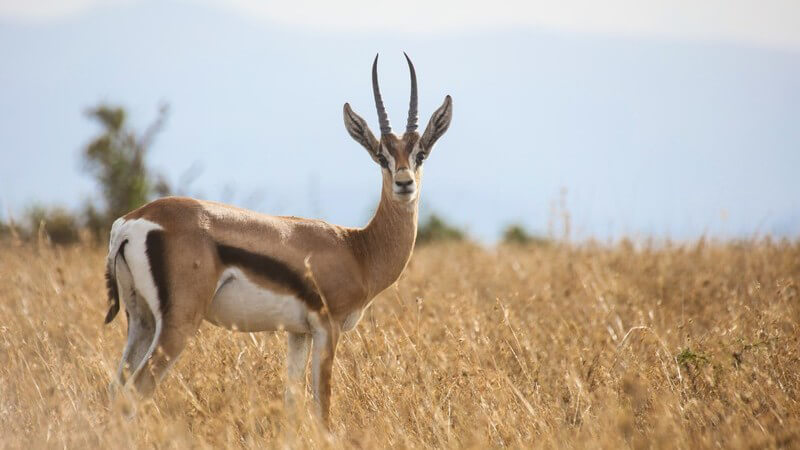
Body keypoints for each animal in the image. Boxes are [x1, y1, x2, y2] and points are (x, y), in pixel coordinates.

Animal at [103, 53, 452, 425]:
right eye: (380, 156)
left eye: (420, 154)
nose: (404, 183)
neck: (357, 250)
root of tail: (130, 223)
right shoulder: (327, 328)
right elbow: (322, 405)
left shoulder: (297, 333)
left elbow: (291, 400)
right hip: (177, 325)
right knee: (136, 392)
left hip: (141, 321)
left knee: (116, 389)